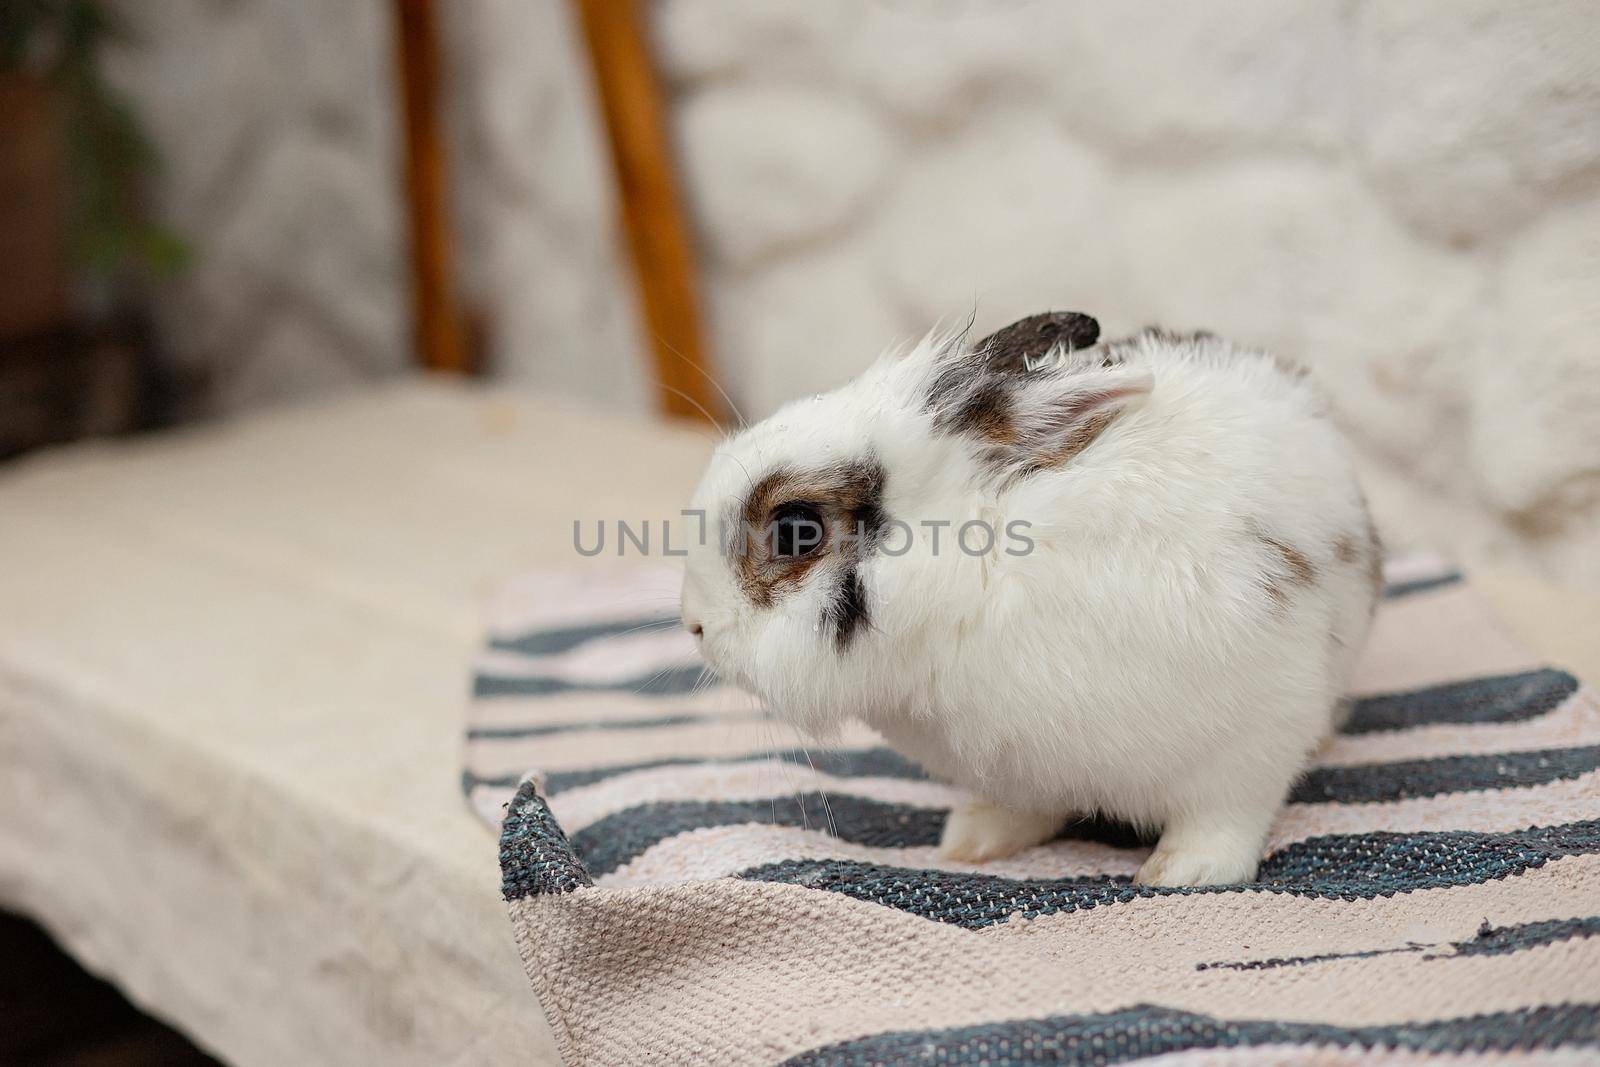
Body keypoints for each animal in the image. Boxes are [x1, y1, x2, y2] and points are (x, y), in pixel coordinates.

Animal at [675, 313, 1376, 889]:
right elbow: (1019, 809)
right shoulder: (1017, 769)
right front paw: (970, 842)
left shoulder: (1251, 740)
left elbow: (1222, 821)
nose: (694, 625)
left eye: (797, 529)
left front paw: (1183, 874)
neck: (977, 580)